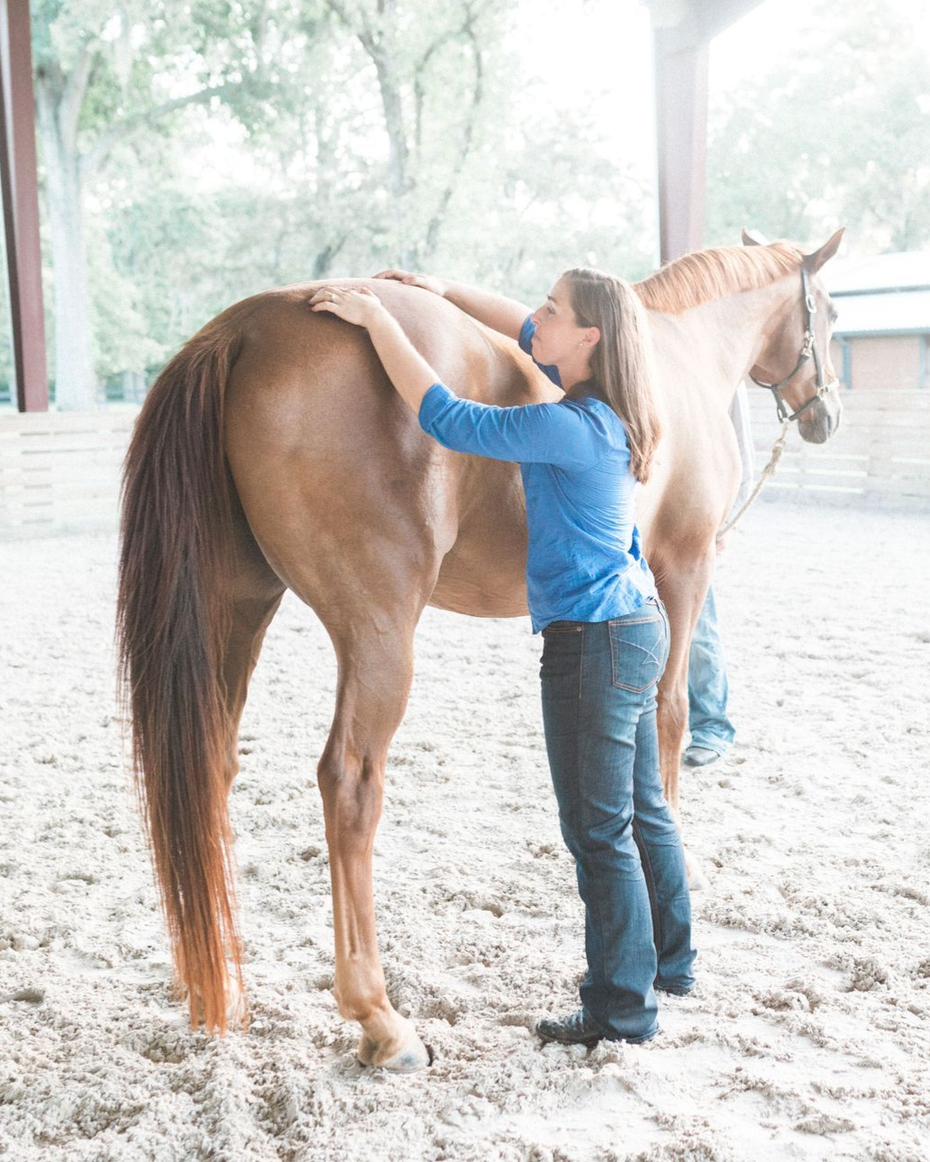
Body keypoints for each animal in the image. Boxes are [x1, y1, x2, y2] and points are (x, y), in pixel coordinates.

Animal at [117, 230, 844, 1072]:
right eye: (829, 313)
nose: (827, 414)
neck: (668, 356)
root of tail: (246, 327)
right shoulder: (684, 569)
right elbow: (666, 717)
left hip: (235, 610)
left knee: (208, 767)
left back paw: (218, 983)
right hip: (377, 631)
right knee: (349, 784)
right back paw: (381, 1019)